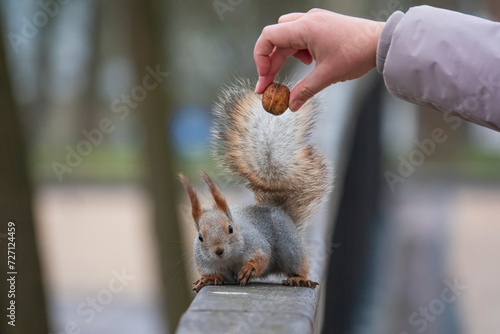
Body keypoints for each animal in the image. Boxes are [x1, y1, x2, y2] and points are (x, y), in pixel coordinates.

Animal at [179, 79, 332, 294]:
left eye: (230, 229)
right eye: (200, 237)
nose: (218, 250)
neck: (229, 260)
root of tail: (278, 210)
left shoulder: (256, 243)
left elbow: (262, 258)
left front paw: (249, 269)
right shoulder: (205, 261)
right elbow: (212, 273)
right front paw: (207, 279)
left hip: (290, 247)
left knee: (298, 265)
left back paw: (299, 278)